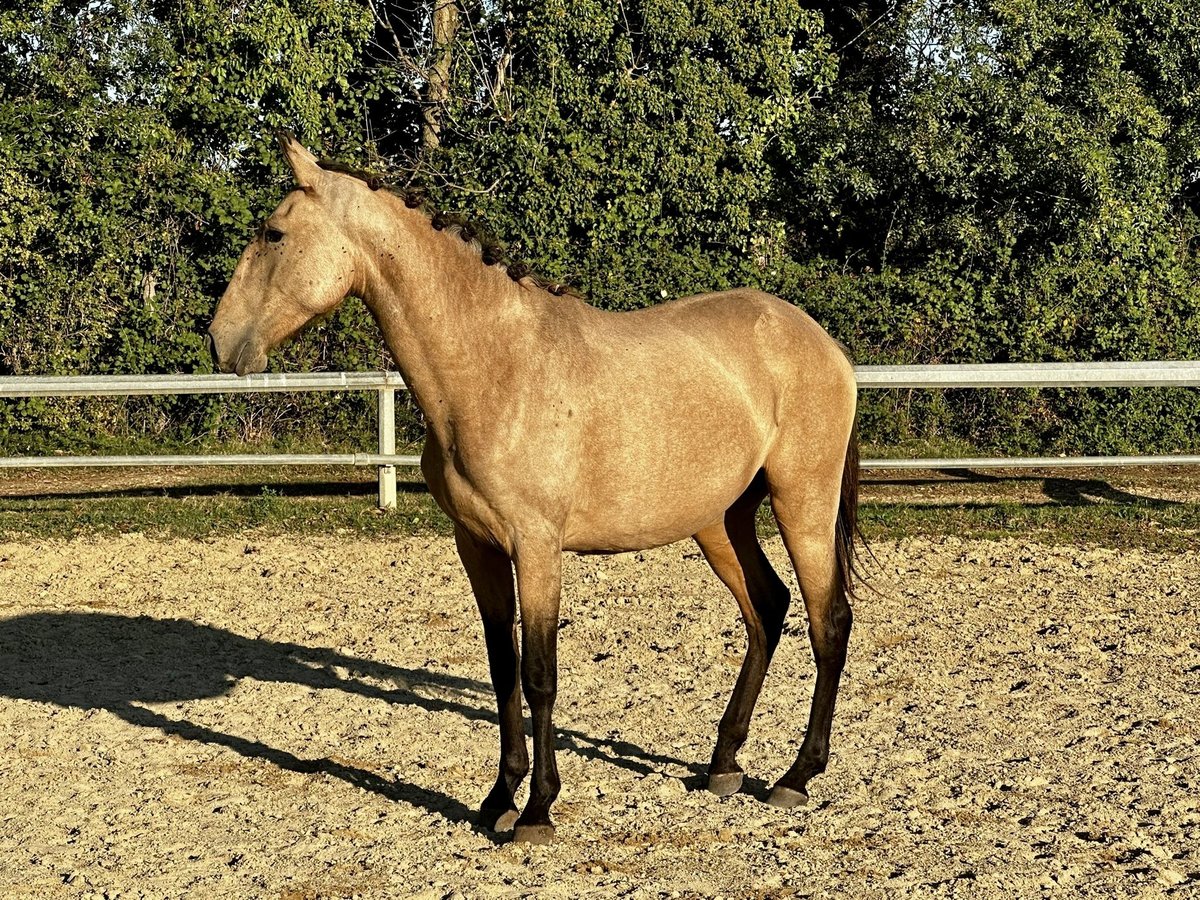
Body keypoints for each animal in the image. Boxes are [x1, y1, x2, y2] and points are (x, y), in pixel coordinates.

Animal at [208, 133, 864, 844]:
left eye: (274, 233)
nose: (219, 340)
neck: (495, 367)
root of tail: (822, 342)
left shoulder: (537, 548)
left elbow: (540, 673)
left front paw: (538, 810)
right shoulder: (478, 546)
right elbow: (503, 672)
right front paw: (498, 797)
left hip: (802, 503)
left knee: (829, 621)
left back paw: (797, 776)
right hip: (720, 519)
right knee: (766, 608)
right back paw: (722, 765)